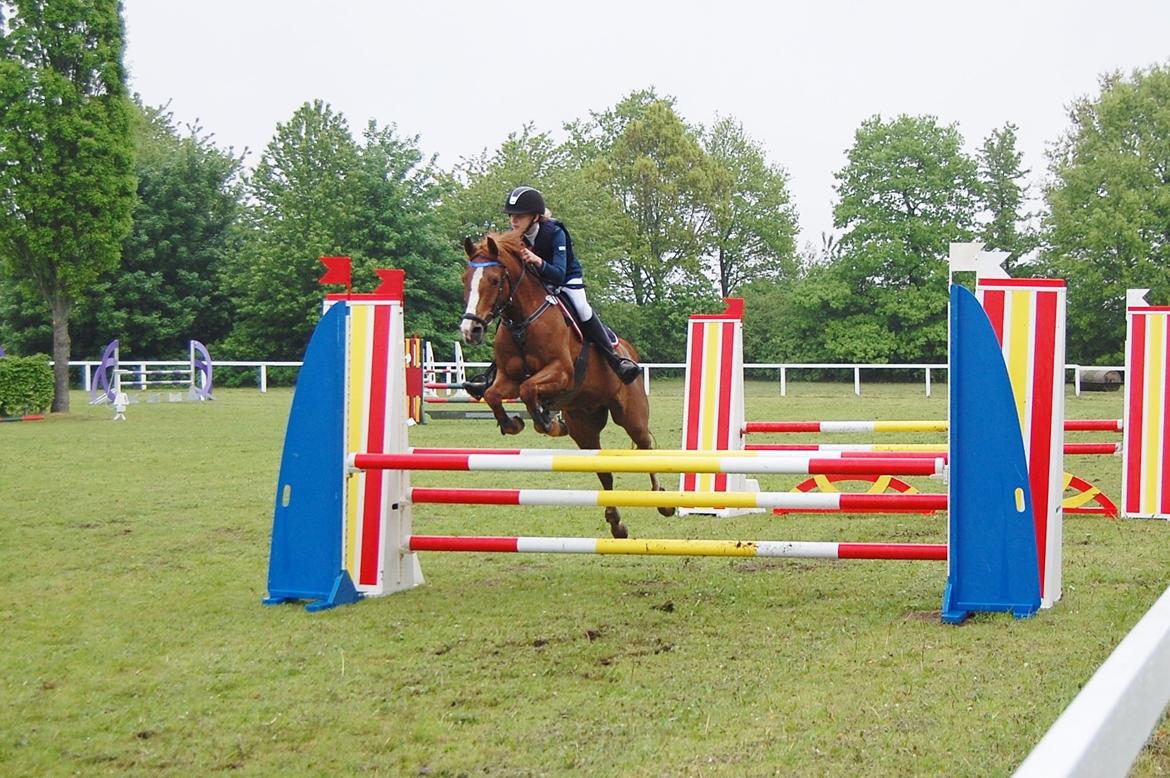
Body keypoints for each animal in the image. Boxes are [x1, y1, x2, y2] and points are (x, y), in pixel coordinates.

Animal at [458, 228, 673, 538]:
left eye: (495, 280)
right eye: (465, 279)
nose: (470, 330)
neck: (522, 322)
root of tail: (628, 351)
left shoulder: (562, 373)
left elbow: (528, 390)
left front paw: (546, 422)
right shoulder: (508, 378)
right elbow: (494, 395)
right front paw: (515, 424)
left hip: (631, 416)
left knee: (646, 449)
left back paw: (663, 502)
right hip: (584, 426)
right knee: (604, 471)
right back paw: (616, 523)